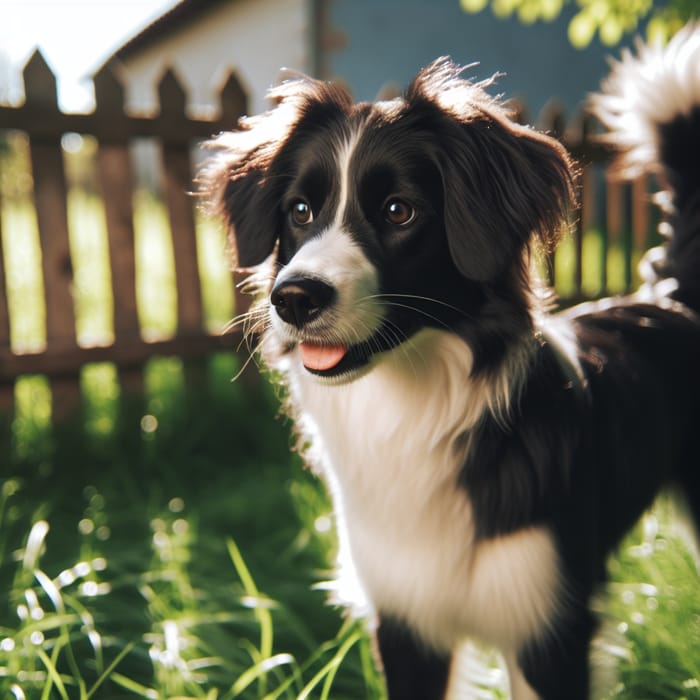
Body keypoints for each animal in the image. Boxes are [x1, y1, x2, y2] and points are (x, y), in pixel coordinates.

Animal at [201, 26, 700, 700]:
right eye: (299, 211)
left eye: (399, 211)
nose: (294, 298)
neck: (414, 411)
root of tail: (672, 297)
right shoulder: (405, 624)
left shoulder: (551, 631)